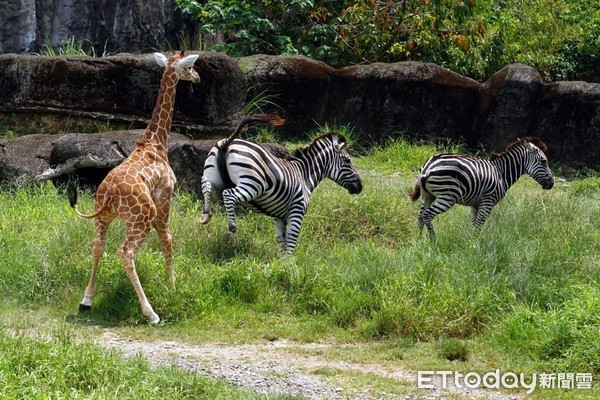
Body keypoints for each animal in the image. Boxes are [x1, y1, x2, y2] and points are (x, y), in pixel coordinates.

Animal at [67, 51, 200, 324]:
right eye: (190, 67)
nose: (198, 77)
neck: (155, 142)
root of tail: (110, 194)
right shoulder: (165, 196)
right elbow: (168, 239)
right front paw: (173, 287)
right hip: (142, 218)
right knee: (125, 252)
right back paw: (151, 313)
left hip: (103, 217)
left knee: (98, 245)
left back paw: (86, 301)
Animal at [200, 114, 360, 255]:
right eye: (348, 161)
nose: (360, 186)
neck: (304, 175)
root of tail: (227, 142)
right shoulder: (297, 210)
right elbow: (291, 241)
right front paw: (289, 265)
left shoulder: (279, 217)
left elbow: (282, 241)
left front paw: (281, 264)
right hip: (253, 184)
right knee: (228, 194)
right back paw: (231, 228)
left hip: (212, 177)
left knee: (207, 188)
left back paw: (206, 215)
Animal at [410, 136, 556, 239]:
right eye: (544, 161)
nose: (552, 184)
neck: (501, 173)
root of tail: (428, 167)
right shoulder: (488, 201)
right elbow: (479, 224)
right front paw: (474, 246)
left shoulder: (476, 204)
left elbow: (474, 224)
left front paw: (469, 241)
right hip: (447, 196)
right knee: (427, 215)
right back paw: (434, 240)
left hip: (428, 195)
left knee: (420, 215)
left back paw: (419, 240)